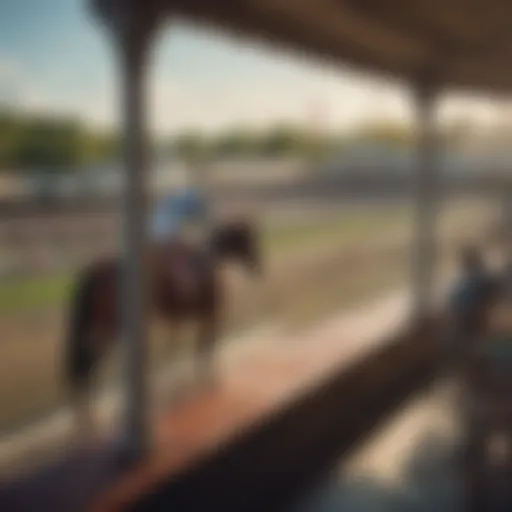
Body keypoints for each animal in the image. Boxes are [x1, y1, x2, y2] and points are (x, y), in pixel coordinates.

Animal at [65, 218, 260, 434]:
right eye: (247, 239)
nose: (258, 267)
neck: (208, 261)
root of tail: (98, 271)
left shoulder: (188, 321)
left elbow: (192, 350)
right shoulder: (209, 317)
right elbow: (206, 347)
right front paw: (209, 380)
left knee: (84, 370)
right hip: (107, 334)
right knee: (88, 369)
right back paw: (91, 421)